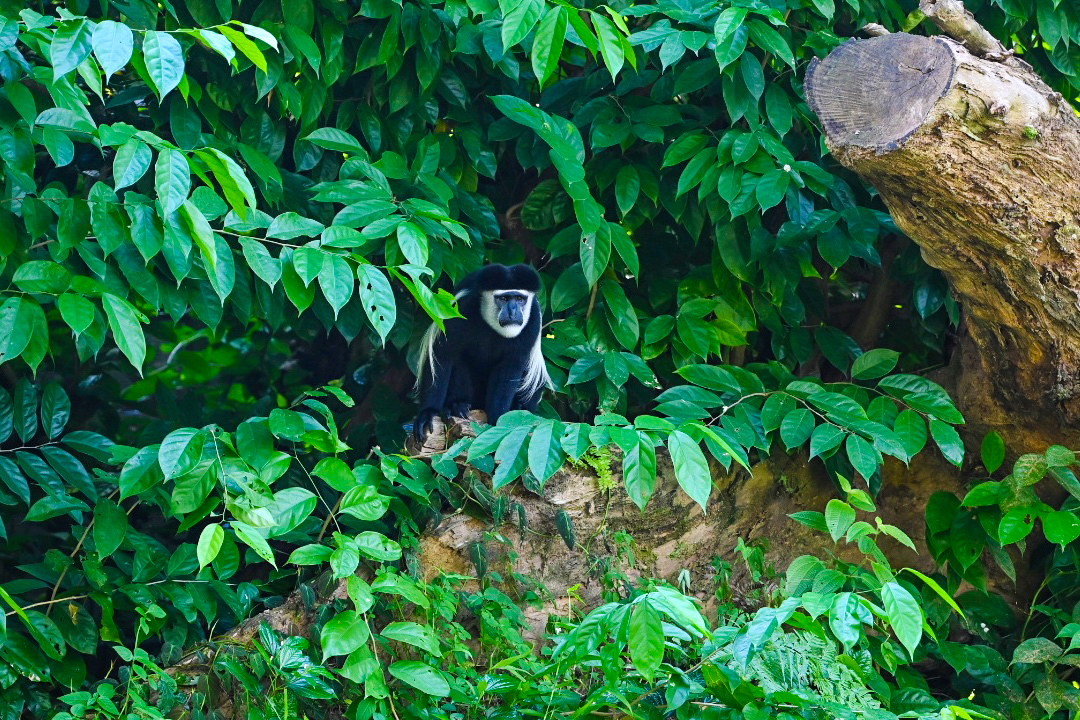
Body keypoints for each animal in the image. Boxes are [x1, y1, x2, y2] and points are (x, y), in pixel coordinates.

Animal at [410, 264, 552, 442]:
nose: (513, 312)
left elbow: (510, 370)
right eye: (504, 299)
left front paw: (499, 420)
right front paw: (427, 413)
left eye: (520, 299)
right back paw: (457, 406)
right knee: (458, 360)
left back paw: (519, 407)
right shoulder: (460, 309)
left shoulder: (532, 321)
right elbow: (442, 355)